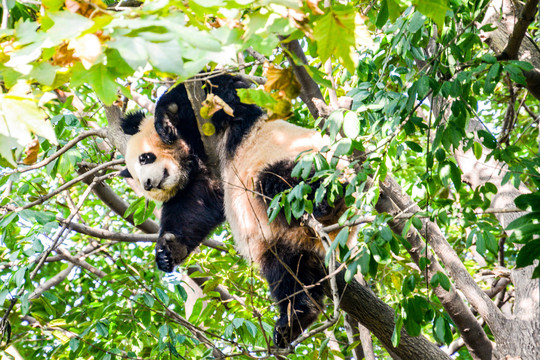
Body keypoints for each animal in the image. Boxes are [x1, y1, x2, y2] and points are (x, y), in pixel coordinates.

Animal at [120, 74, 352, 348]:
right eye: (137, 178)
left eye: (145, 158)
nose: (148, 184)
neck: (190, 153)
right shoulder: (207, 177)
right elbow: (192, 209)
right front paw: (168, 251)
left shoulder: (220, 122)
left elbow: (221, 89)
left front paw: (165, 120)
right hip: (283, 241)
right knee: (289, 271)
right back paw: (294, 319)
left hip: (307, 161)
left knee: (282, 180)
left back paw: (326, 202)